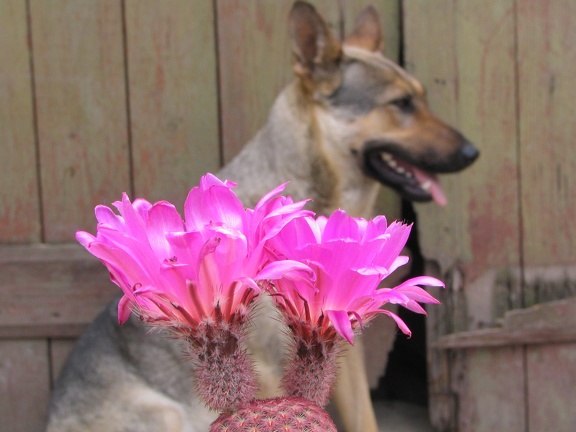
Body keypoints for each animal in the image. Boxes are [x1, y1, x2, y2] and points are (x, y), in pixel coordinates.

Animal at [44, 1, 476, 430]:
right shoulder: (268, 366)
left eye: (421, 97)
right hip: (166, 413)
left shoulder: (348, 351)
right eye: (401, 103)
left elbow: (363, 418)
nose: (473, 152)